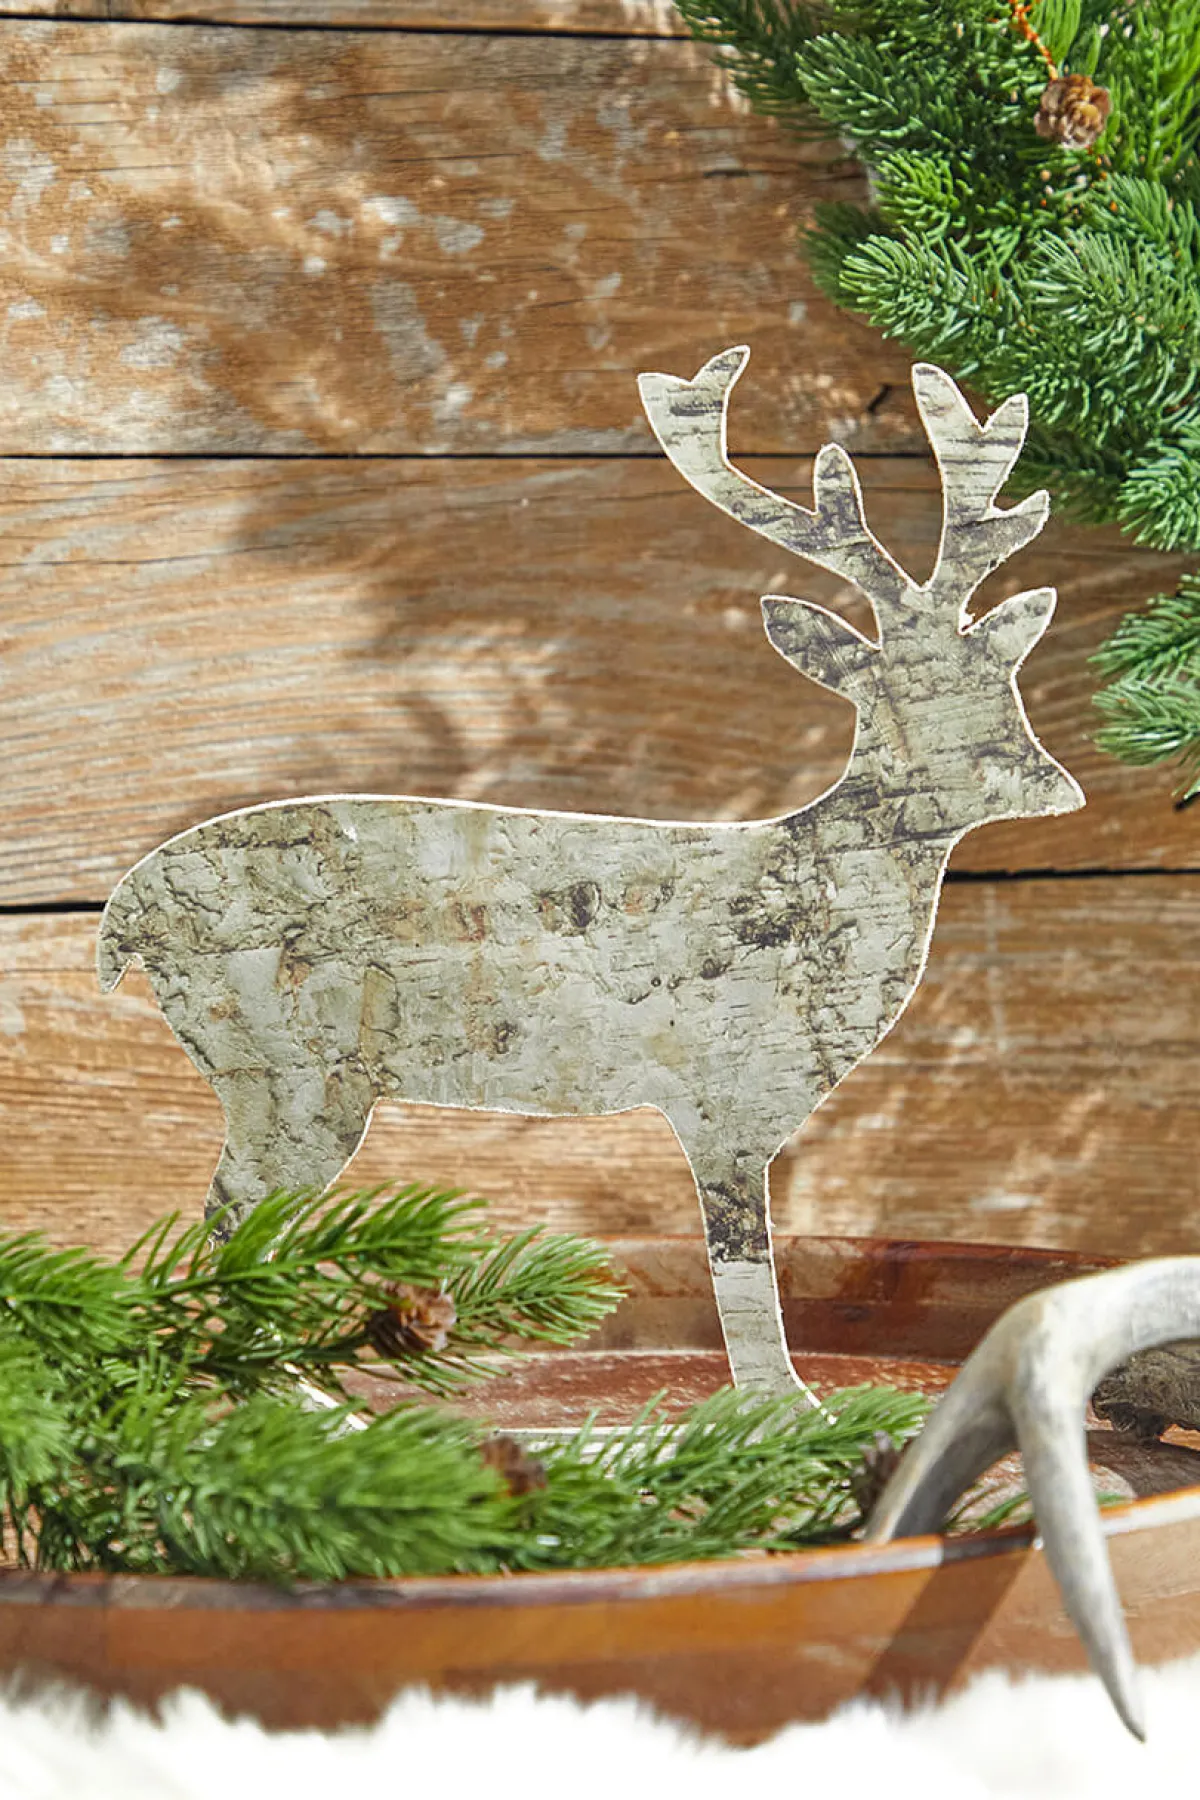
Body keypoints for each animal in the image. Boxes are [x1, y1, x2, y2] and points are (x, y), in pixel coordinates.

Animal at [97, 346, 1083, 1408]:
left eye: (1004, 678)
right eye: (897, 697)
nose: (1057, 787)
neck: (813, 881)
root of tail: (122, 920)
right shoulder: (724, 1097)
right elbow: (742, 1267)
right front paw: (787, 1408)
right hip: (281, 1071)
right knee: (227, 1224)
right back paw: (310, 1404)